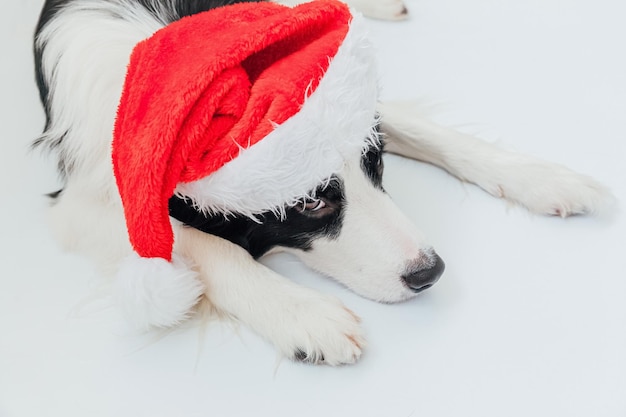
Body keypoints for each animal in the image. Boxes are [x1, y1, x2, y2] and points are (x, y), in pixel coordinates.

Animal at [30, 0, 608, 364]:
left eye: (377, 164)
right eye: (310, 204)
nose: (430, 272)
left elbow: (424, 128)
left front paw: (540, 176)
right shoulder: (77, 203)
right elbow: (202, 244)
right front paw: (303, 314)